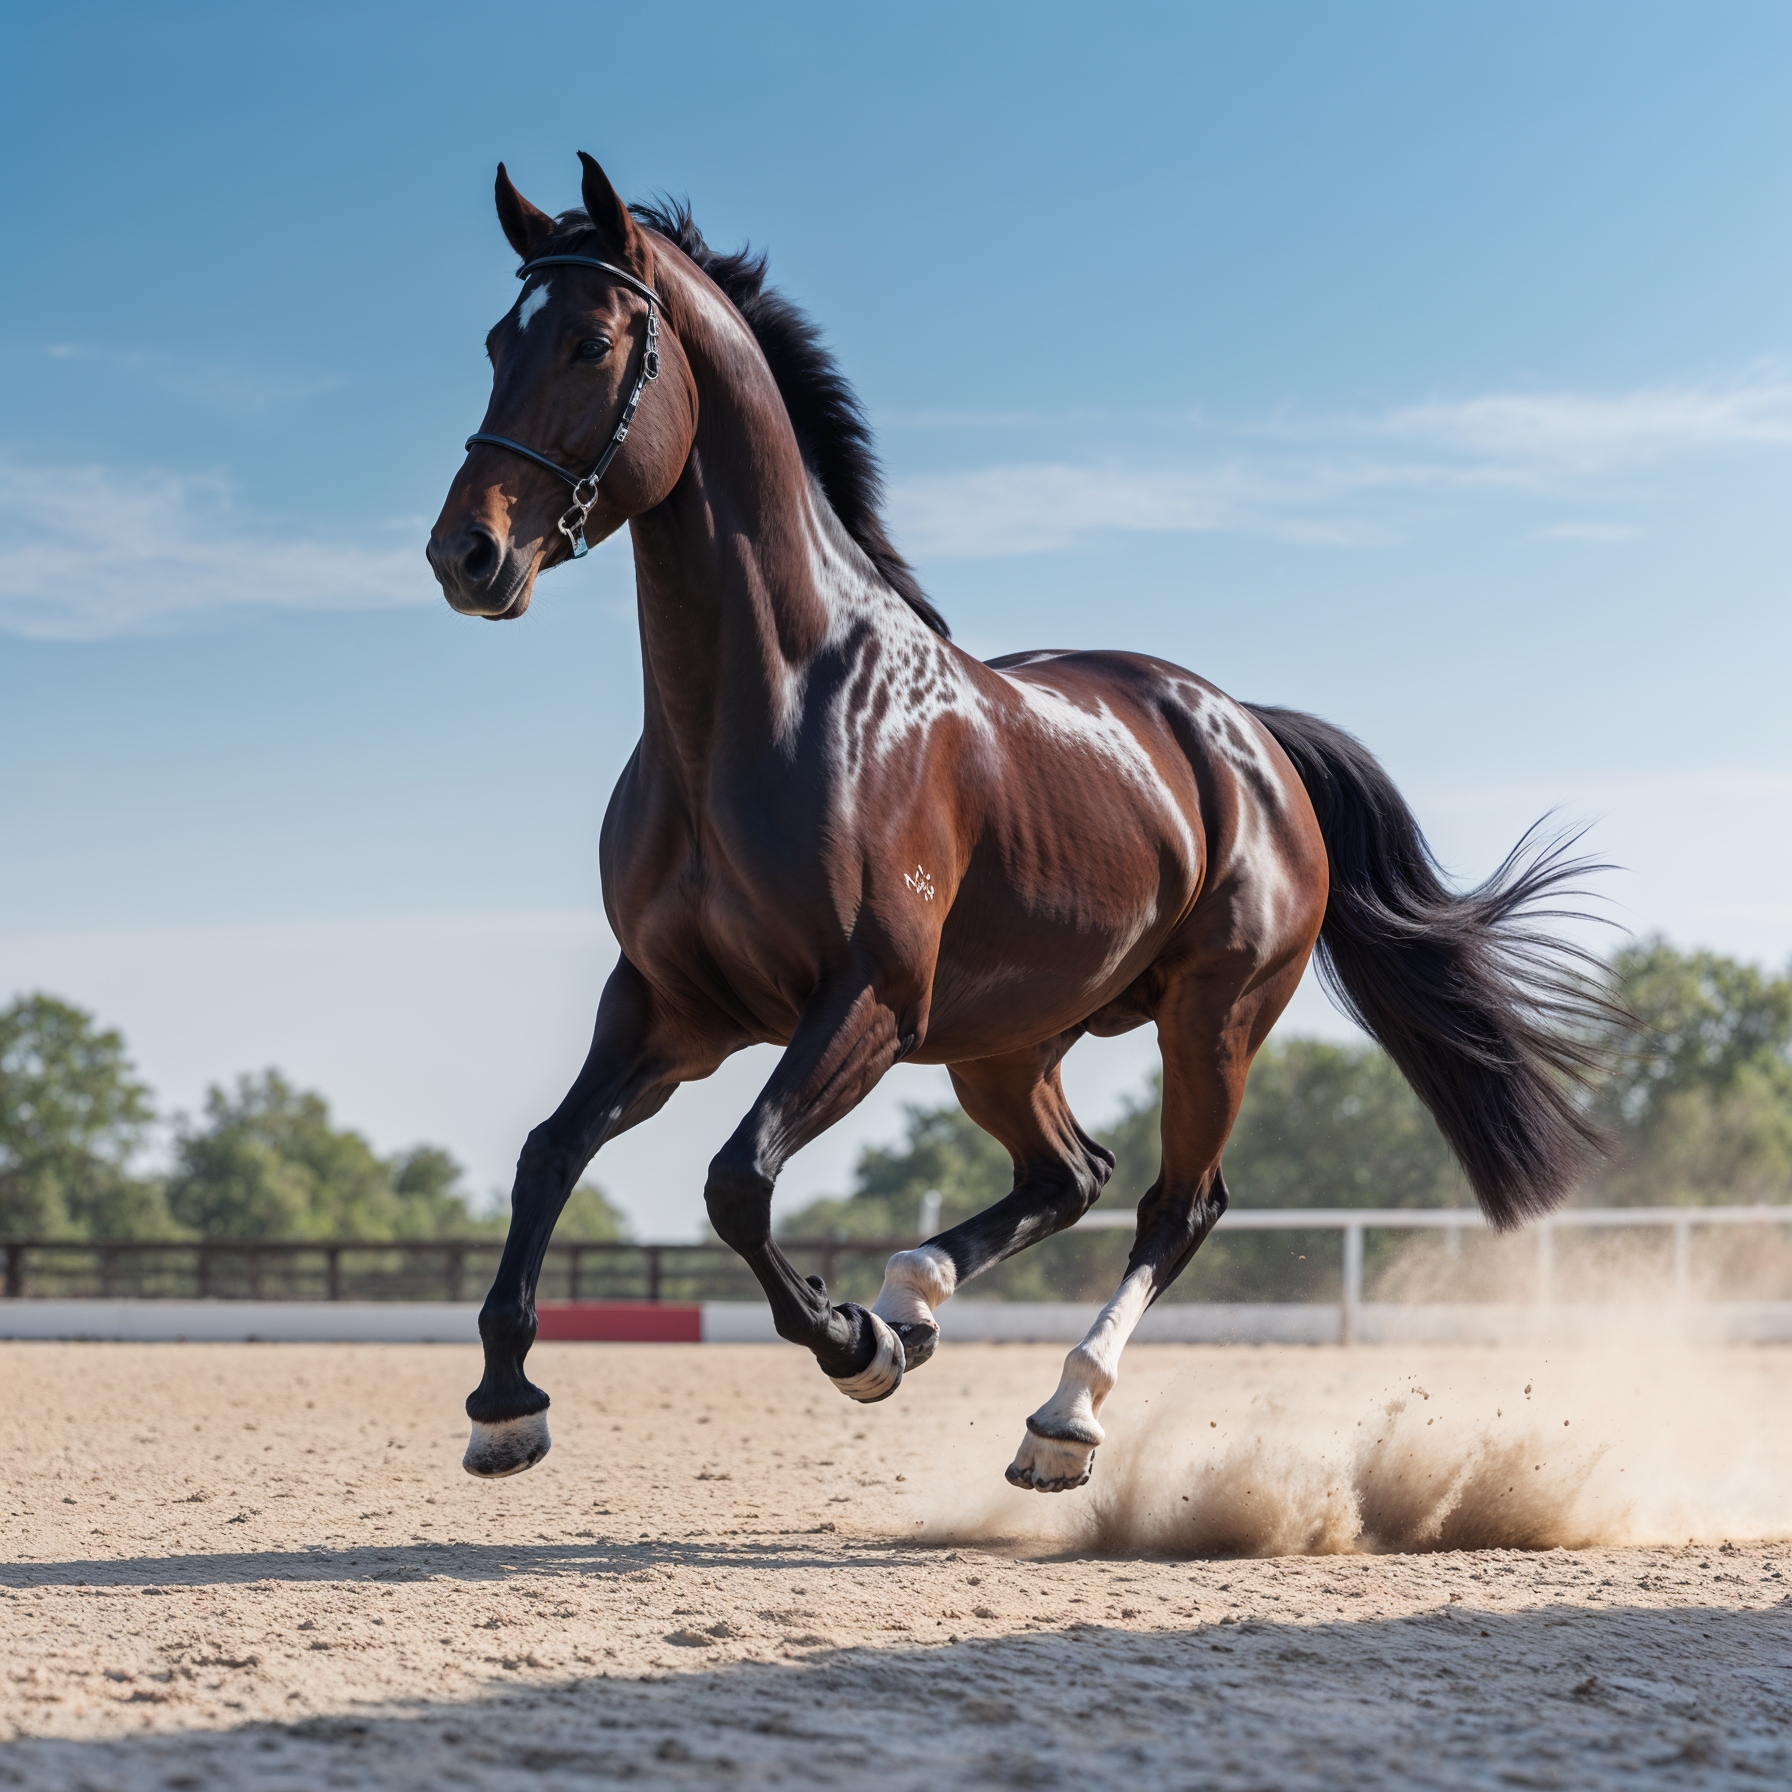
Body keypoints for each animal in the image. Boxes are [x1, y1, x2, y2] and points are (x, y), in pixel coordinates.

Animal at [427, 154, 1608, 1491]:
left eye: (589, 340)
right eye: (495, 341)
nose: (466, 555)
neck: (767, 713)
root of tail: (1247, 733)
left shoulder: (867, 1003)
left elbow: (737, 1181)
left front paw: (851, 1342)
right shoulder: (672, 1007)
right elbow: (547, 1153)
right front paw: (505, 1402)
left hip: (1211, 1019)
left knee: (1173, 1205)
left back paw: (1057, 1414)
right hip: (1005, 1042)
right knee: (1068, 1174)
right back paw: (918, 1292)